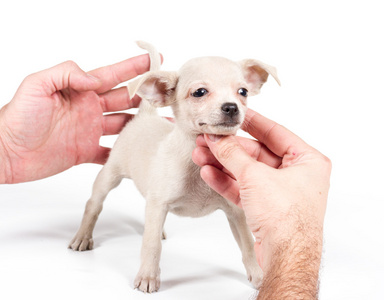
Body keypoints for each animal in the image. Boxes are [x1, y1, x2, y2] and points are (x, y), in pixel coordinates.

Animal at [68, 41, 280, 292]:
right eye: (199, 92)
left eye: (243, 92)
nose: (231, 107)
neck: (196, 162)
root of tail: (145, 115)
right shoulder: (158, 204)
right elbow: (150, 245)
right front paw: (148, 276)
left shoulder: (235, 212)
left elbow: (247, 245)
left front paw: (258, 276)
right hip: (110, 174)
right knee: (94, 204)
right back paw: (83, 236)